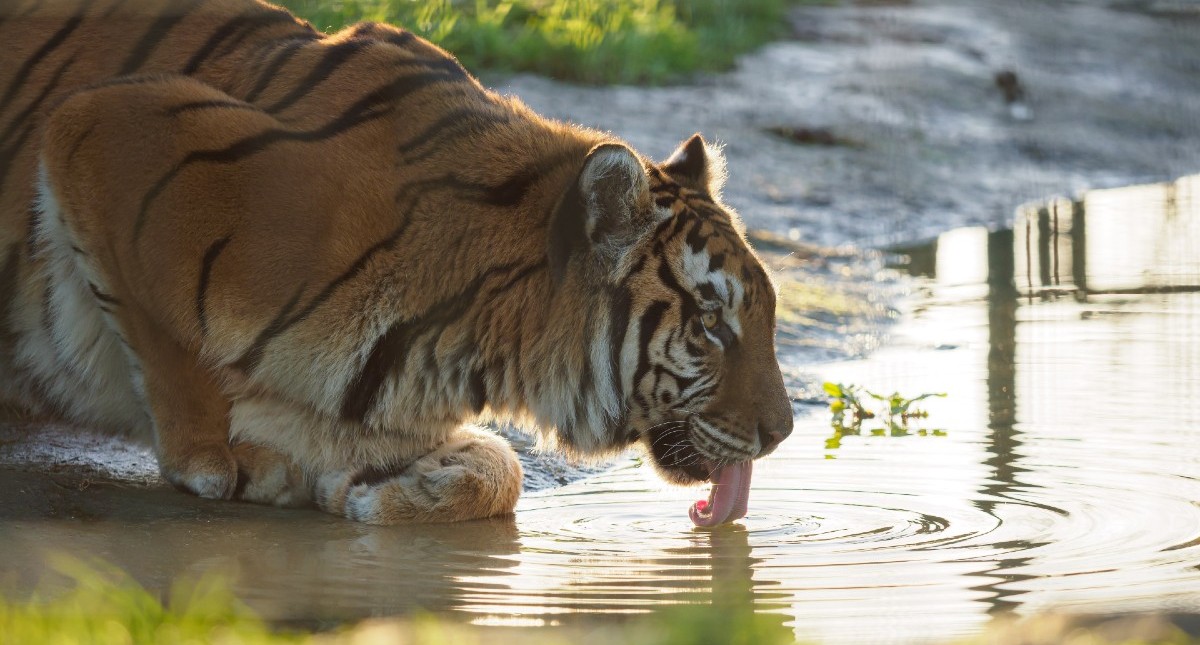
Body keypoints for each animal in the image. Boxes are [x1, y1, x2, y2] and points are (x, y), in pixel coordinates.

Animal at [2, 0, 796, 522]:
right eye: (712, 321)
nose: (784, 434)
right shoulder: (105, 125)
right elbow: (169, 341)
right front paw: (213, 458)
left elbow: (501, 467)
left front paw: (387, 492)